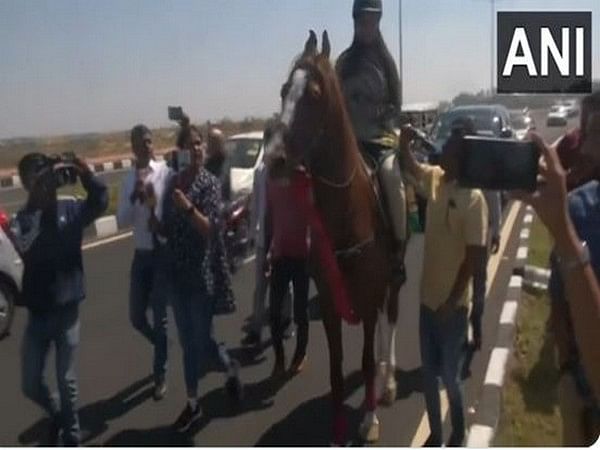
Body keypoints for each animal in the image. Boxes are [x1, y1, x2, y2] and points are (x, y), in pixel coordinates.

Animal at [264, 29, 400, 444]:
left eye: (314, 93)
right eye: (284, 90)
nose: (274, 159)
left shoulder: (367, 300)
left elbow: (367, 360)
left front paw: (369, 420)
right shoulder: (327, 303)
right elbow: (337, 371)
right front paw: (338, 431)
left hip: (392, 281)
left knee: (392, 319)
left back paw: (389, 382)